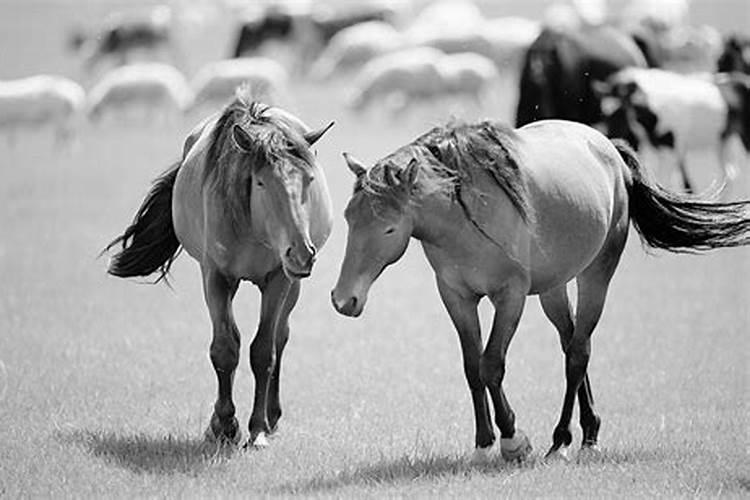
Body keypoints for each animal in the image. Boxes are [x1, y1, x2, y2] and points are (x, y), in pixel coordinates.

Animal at [103, 92, 334, 448]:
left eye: (309, 179)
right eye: (261, 182)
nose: (302, 252)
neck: (255, 225)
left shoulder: (279, 279)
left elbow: (263, 350)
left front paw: (257, 428)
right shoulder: (215, 276)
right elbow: (225, 348)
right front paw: (224, 424)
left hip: (293, 283)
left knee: (280, 337)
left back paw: (272, 415)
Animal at [332, 119, 750, 462]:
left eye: (389, 228)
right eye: (349, 218)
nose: (343, 299)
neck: (462, 215)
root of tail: (608, 148)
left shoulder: (510, 296)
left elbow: (491, 364)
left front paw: (513, 441)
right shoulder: (456, 298)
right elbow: (471, 367)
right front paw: (483, 443)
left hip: (596, 275)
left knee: (578, 353)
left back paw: (563, 440)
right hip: (554, 287)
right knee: (570, 341)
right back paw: (588, 431)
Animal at [596, 66, 748, 191]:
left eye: (622, 111)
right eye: (605, 113)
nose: (610, 139)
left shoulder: (670, 150)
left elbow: (664, 182)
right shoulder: (654, 148)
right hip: (722, 140)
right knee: (730, 174)